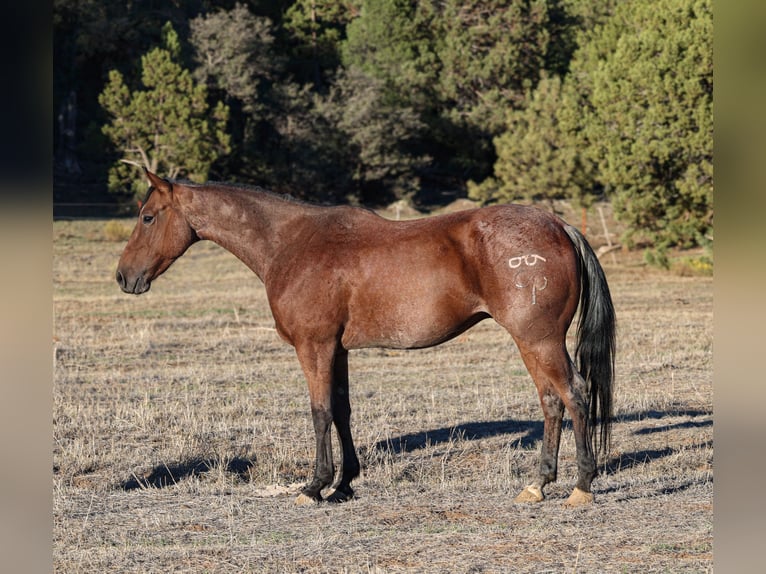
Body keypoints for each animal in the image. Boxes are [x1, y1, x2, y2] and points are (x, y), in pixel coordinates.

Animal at [116, 170, 615, 507]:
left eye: (147, 216)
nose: (123, 277)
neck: (291, 242)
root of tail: (558, 226)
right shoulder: (337, 350)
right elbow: (342, 411)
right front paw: (344, 484)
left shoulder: (314, 346)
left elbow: (319, 413)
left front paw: (315, 486)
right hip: (533, 344)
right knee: (551, 402)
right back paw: (538, 484)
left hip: (539, 340)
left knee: (573, 395)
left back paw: (581, 485)